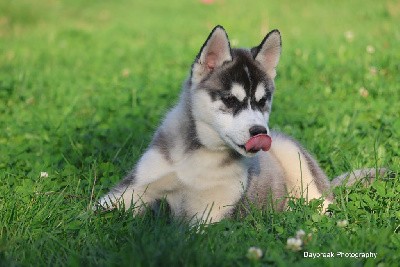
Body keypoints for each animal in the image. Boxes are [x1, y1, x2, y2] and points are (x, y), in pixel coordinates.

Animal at [97, 26, 382, 224]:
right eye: (230, 100)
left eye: (262, 101)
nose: (260, 133)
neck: (199, 155)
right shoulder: (130, 189)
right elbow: (96, 213)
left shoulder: (209, 216)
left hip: (298, 164)